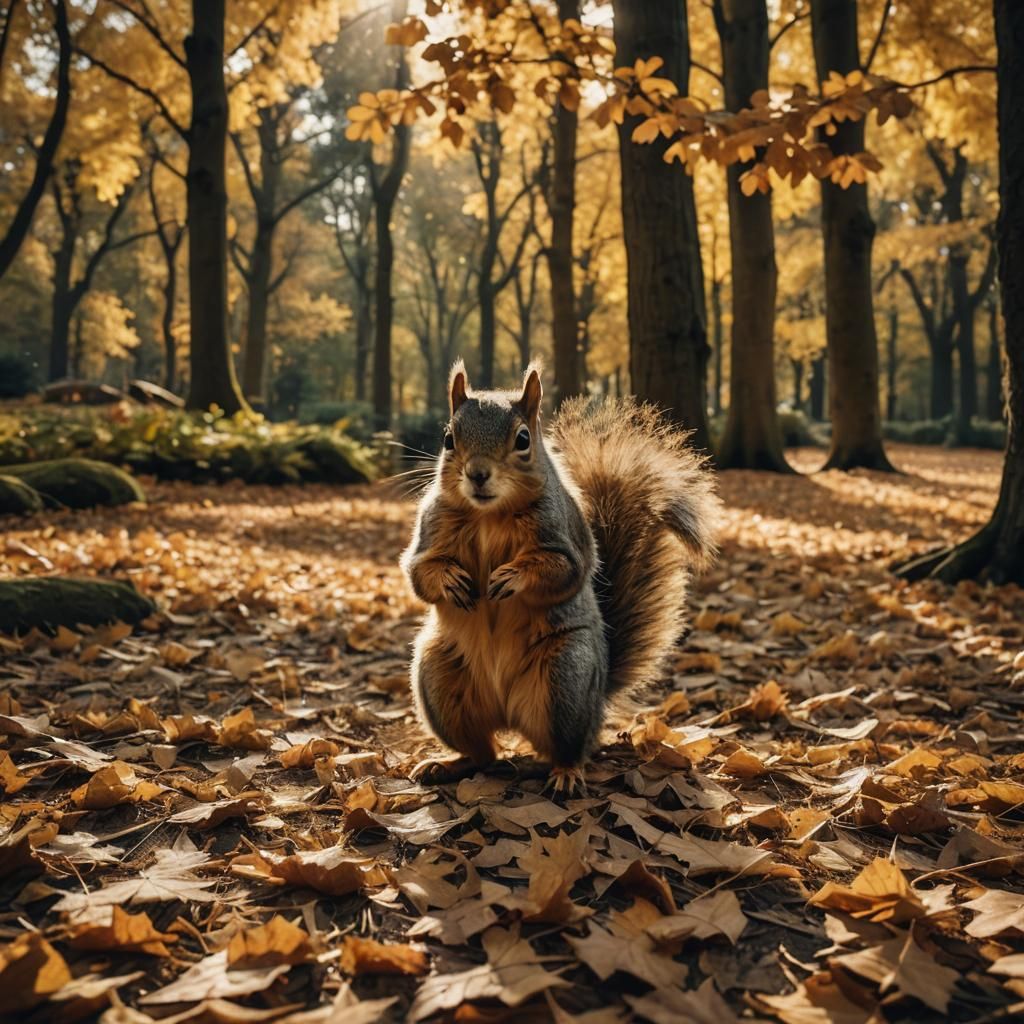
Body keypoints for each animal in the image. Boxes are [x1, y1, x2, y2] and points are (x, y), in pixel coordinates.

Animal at [401, 360, 720, 791]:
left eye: (523, 439)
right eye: (449, 438)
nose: (478, 474)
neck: (490, 515)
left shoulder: (566, 535)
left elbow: (564, 570)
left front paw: (512, 576)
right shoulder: (430, 528)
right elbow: (419, 572)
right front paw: (449, 579)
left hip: (566, 678)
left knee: (570, 746)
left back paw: (566, 774)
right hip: (439, 678)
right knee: (483, 753)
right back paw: (449, 764)